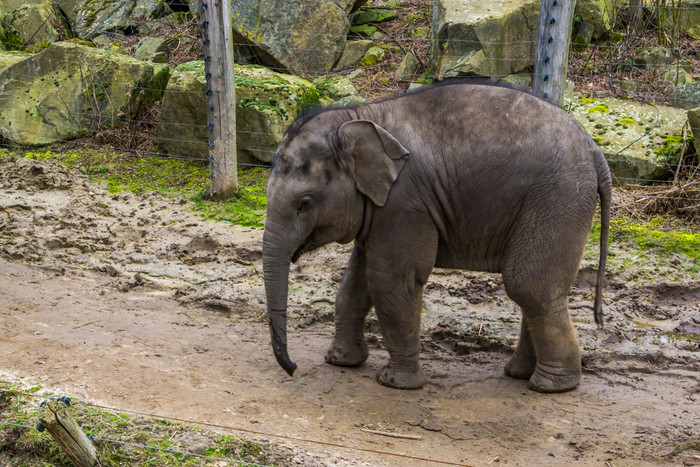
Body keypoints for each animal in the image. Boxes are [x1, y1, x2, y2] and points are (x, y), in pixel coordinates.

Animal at [262, 81, 612, 394]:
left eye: (304, 203)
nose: (292, 368)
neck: (358, 115)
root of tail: (596, 153)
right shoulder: (379, 208)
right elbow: (356, 280)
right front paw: (341, 362)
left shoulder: (405, 201)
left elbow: (390, 278)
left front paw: (395, 383)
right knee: (538, 289)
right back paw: (520, 374)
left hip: (557, 199)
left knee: (528, 284)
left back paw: (550, 386)